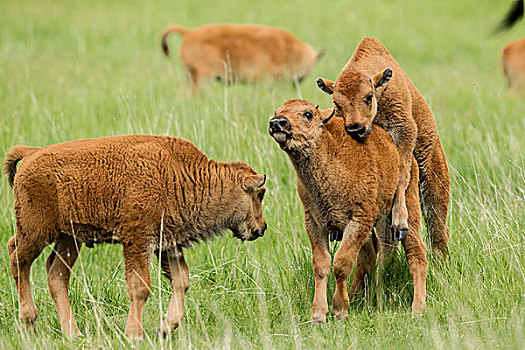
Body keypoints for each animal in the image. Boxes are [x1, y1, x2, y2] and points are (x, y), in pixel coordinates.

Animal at [3, 135, 266, 340]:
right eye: (260, 194)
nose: (261, 228)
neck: (178, 174)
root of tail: (31, 153)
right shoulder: (138, 241)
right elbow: (140, 287)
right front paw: (134, 334)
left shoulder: (167, 244)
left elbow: (181, 281)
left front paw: (164, 328)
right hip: (36, 231)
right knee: (18, 259)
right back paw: (29, 320)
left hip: (69, 238)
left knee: (56, 273)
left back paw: (73, 332)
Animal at [161, 23, 324, 93]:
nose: (298, 82)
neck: (287, 49)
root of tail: (189, 32)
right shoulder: (262, 80)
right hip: (203, 77)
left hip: (191, 76)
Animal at [268, 99, 428, 322]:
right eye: (277, 112)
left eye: (308, 114)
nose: (277, 123)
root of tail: (407, 157)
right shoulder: (314, 223)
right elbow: (322, 266)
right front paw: (318, 315)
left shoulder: (358, 220)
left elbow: (341, 263)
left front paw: (340, 310)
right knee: (370, 255)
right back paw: (356, 296)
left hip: (407, 213)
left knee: (417, 254)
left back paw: (418, 309)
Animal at [316, 37, 450, 258]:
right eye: (336, 103)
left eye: (368, 96)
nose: (356, 128)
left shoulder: (404, 131)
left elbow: (402, 175)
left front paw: (400, 222)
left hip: (432, 169)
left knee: (437, 217)